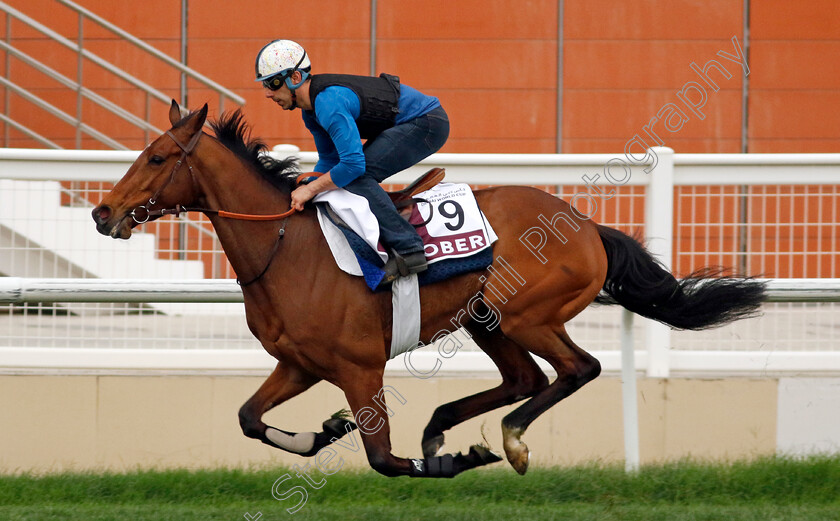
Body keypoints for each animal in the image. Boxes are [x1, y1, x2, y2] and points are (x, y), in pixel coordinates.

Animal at [92, 99, 768, 478]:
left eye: (157, 158)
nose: (103, 213)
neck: (286, 249)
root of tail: (586, 226)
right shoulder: (299, 364)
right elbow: (249, 419)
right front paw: (325, 431)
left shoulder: (359, 367)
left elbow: (384, 461)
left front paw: (456, 459)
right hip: (484, 318)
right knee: (525, 377)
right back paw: (448, 424)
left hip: (526, 315)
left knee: (578, 369)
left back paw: (507, 439)